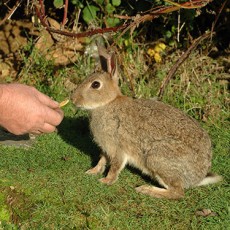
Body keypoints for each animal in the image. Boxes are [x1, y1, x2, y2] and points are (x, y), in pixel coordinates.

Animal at [71, 47, 222, 199]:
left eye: (95, 84)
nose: (73, 99)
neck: (107, 103)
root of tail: (198, 177)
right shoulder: (106, 148)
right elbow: (102, 160)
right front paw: (92, 171)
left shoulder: (118, 147)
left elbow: (115, 166)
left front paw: (106, 180)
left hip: (156, 159)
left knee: (177, 192)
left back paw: (146, 189)